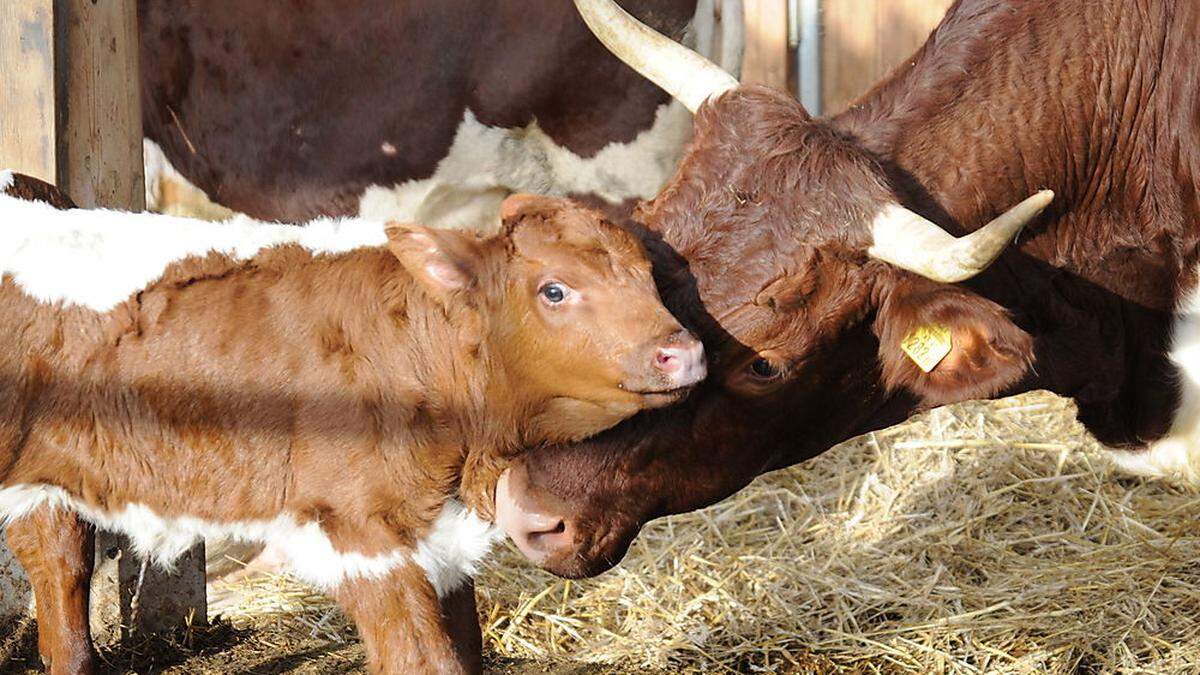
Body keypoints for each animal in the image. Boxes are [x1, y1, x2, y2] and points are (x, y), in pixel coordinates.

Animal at [0, 170, 700, 667]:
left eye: (650, 276)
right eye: (554, 289)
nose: (684, 352)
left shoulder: (437, 537)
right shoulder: (362, 535)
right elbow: (424, 659)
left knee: (58, 564)